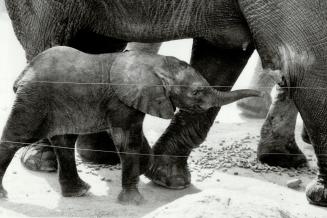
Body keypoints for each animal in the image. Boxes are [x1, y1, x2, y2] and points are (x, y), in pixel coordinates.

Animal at [0, 46, 262, 204]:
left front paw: (148, 168)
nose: (260, 94)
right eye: (197, 92)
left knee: (64, 143)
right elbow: (127, 141)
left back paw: (79, 192)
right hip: (34, 99)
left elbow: (134, 139)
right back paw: (3, 194)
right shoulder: (121, 100)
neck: (155, 63)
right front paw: (134, 201)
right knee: (14, 140)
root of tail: (24, 72)